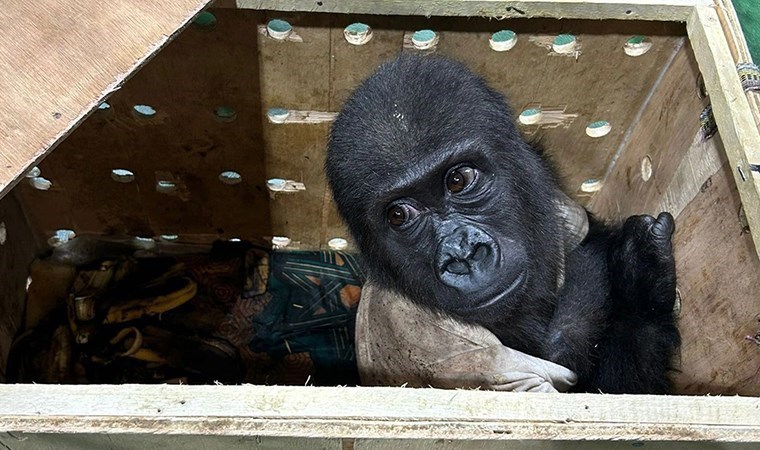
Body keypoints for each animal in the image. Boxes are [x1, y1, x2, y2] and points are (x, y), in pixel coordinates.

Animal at [326, 53, 676, 394]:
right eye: (399, 215)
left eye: (458, 180)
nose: (463, 254)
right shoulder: (448, 348)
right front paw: (639, 284)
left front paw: (640, 276)